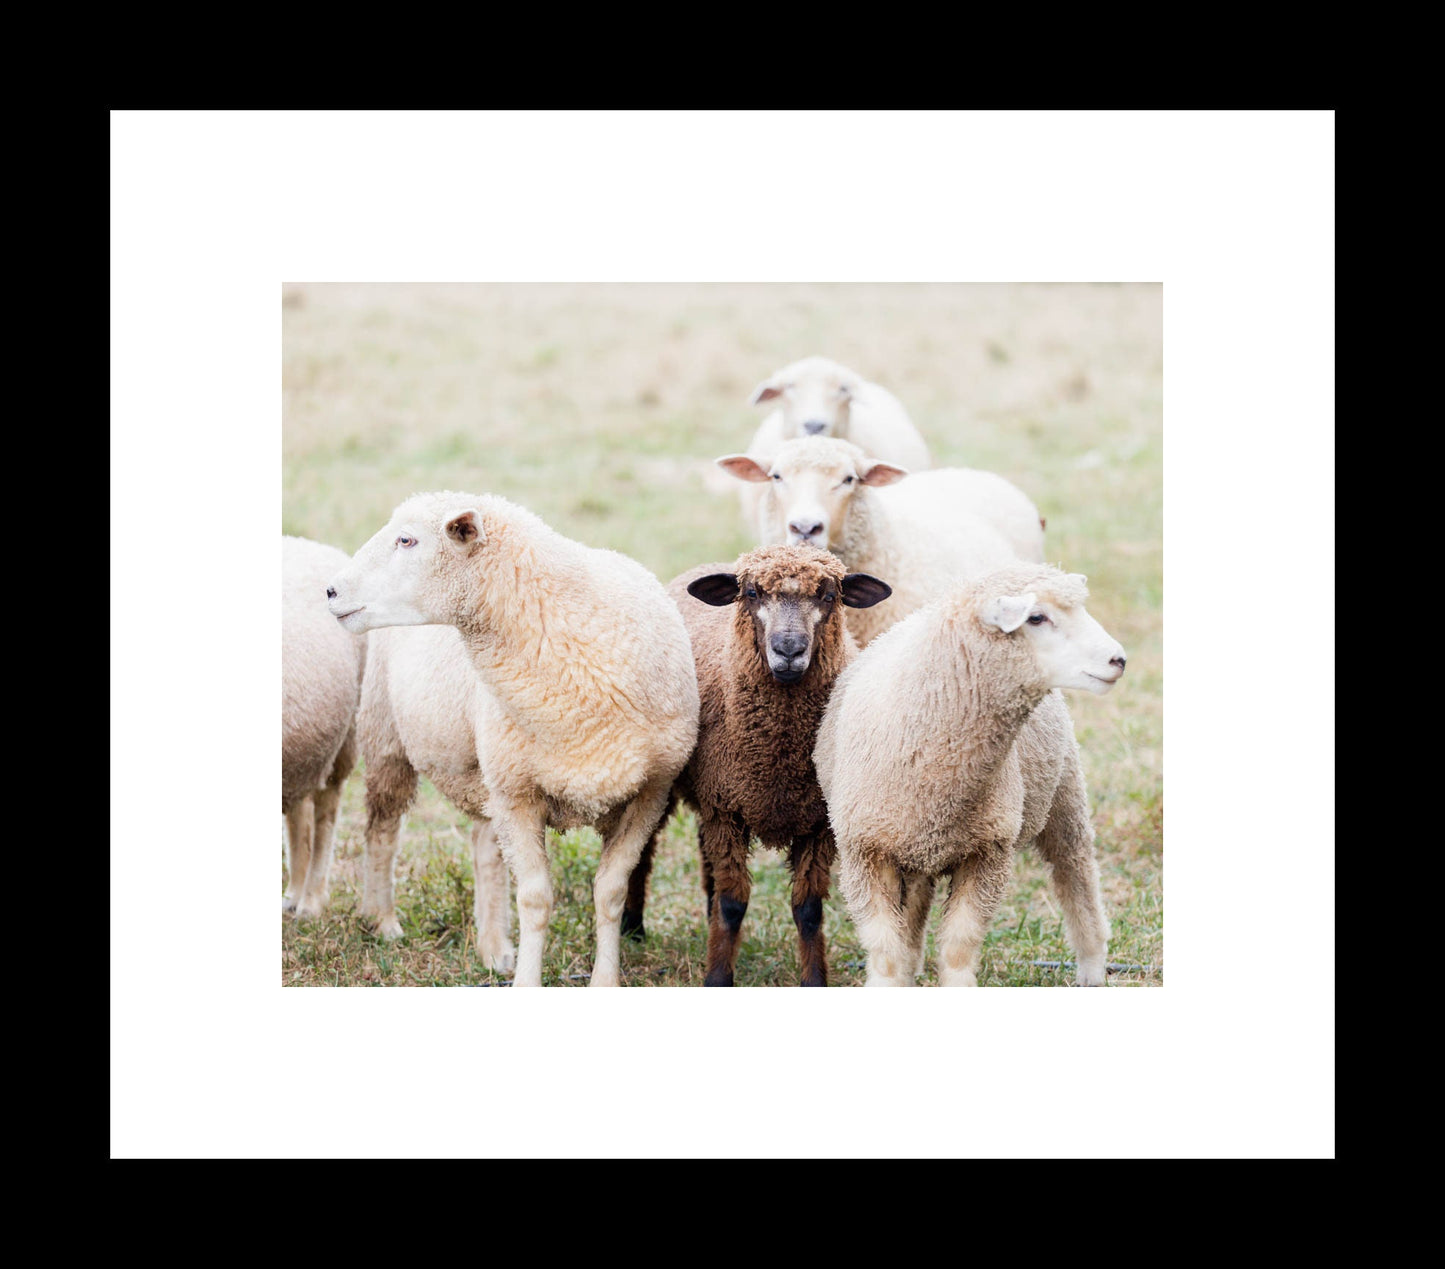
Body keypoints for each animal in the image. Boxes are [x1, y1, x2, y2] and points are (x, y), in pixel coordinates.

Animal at [326, 491, 700, 988]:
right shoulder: (520, 796)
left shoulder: (649, 794)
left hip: (488, 768)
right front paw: (527, 981)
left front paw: (604, 980)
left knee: (484, 847)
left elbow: (610, 893)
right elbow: (535, 899)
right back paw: (382, 920)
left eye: (407, 540)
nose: (330, 591)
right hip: (388, 736)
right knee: (382, 828)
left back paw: (493, 947)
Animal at [621, 545, 891, 986]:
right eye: (751, 593)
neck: (779, 757)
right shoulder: (727, 810)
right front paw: (717, 977)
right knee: (642, 851)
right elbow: (733, 905)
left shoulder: (815, 821)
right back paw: (632, 927)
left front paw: (814, 980)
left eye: (829, 595)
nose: (789, 650)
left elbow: (809, 910)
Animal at [813, 562, 1127, 987]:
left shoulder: (989, 851)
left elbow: (960, 945)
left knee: (1076, 877)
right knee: (916, 907)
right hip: (917, 845)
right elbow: (886, 950)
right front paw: (891, 979)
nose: (1118, 659)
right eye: (1036, 618)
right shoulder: (865, 852)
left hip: (1064, 792)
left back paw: (1092, 969)